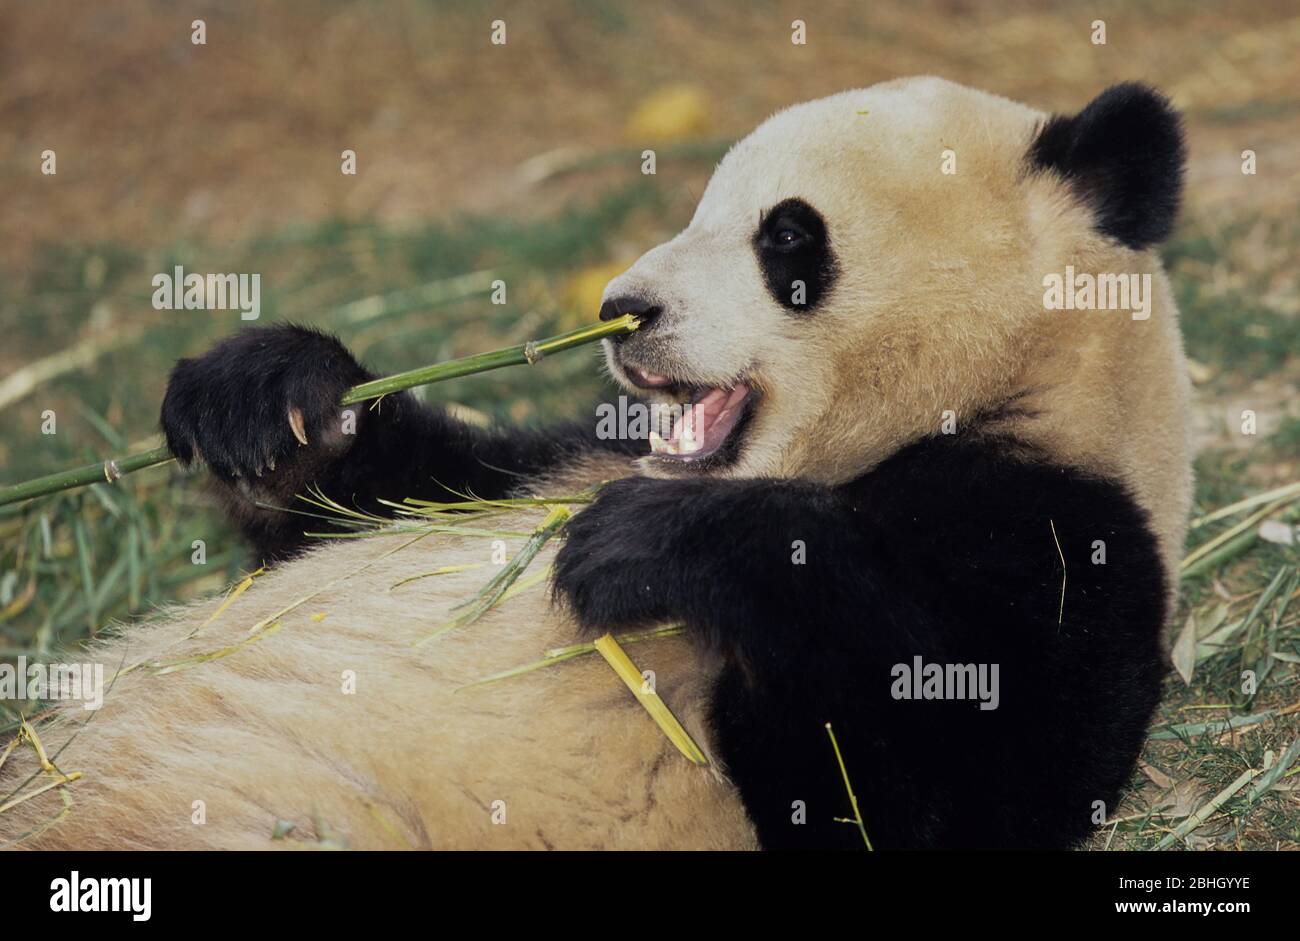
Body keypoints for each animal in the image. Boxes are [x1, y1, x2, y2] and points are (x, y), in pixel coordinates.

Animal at [1, 77, 1190, 851]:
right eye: (699, 208)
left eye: (786, 239)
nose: (625, 307)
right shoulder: (576, 447)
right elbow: (404, 490)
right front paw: (269, 396)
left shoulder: (1057, 527)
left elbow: (942, 782)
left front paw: (653, 549)